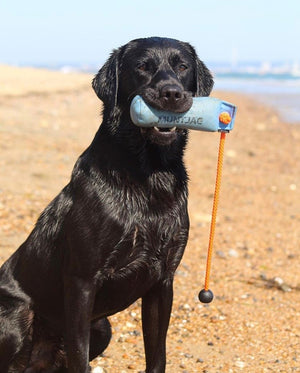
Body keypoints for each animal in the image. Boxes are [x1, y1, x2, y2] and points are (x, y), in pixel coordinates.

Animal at [0, 36, 213, 370]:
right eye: (142, 67)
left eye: (182, 66)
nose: (171, 93)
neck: (149, 175)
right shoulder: (81, 282)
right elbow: (78, 355)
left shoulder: (163, 281)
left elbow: (158, 355)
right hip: (16, 315)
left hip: (103, 327)